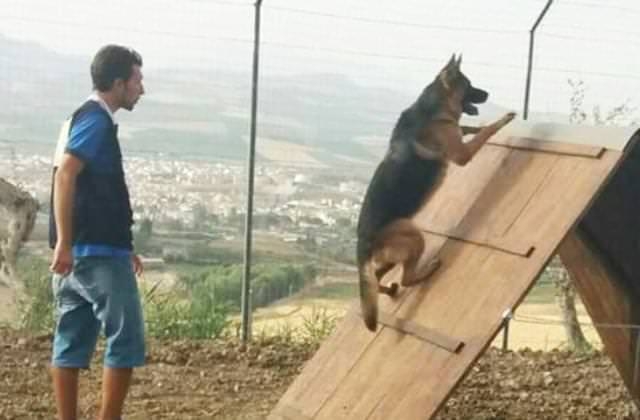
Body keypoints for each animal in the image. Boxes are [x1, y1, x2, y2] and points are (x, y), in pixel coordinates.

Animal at [358, 54, 516, 332]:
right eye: (470, 85)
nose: (487, 93)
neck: (431, 106)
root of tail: (362, 242)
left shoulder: (455, 132)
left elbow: (466, 127)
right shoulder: (462, 154)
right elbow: (484, 131)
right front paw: (503, 119)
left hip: (394, 253)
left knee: (376, 280)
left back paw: (389, 289)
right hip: (414, 237)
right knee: (407, 278)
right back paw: (427, 271)